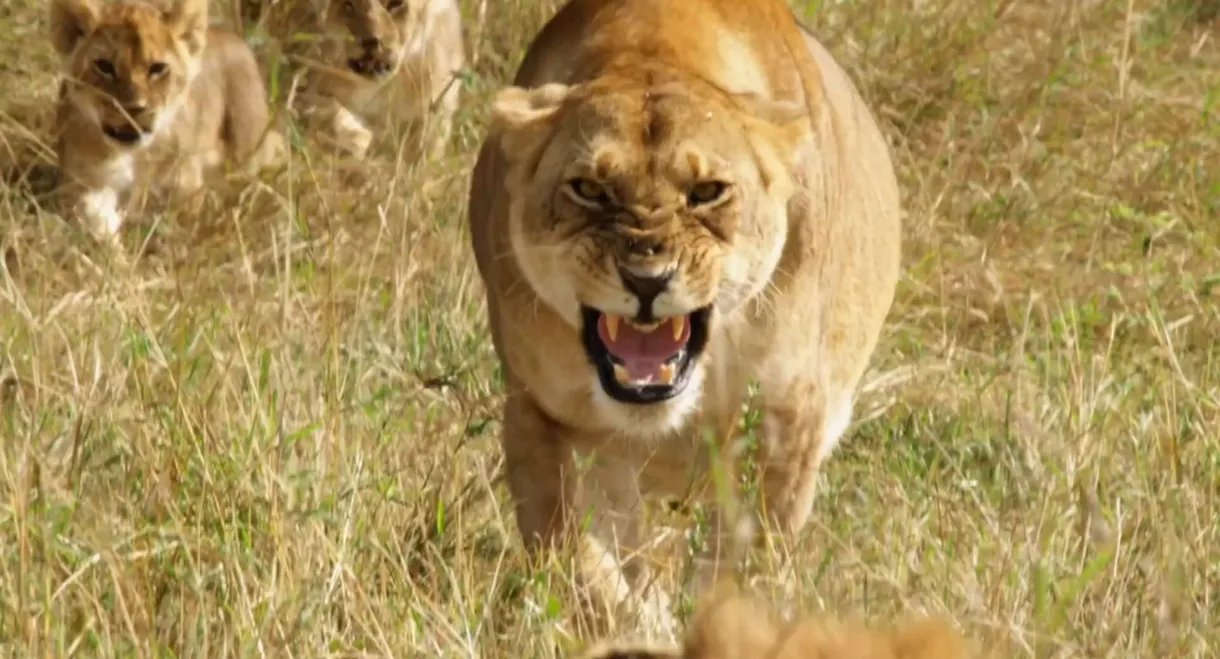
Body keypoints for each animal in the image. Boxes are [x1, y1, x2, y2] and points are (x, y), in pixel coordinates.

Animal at [49, 0, 282, 240]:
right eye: (104, 66)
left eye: (157, 68)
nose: (134, 108)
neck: (131, 155)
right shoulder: (80, 184)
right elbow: (93, 217)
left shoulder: (184, 188)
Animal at [243, 0, 466, 162]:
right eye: (349, 6)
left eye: (395, 4)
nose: (372, 41)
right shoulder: (291, 77)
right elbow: (326, 110)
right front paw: (356, 139)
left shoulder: (436, 108)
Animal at [468, 0, 902, 631]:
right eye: (589, 188)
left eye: (707, 191)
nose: (647, 280)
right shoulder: (540, 412)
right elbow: (580, 563)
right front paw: (643, 625)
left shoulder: (787, 420)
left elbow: (746, 563)